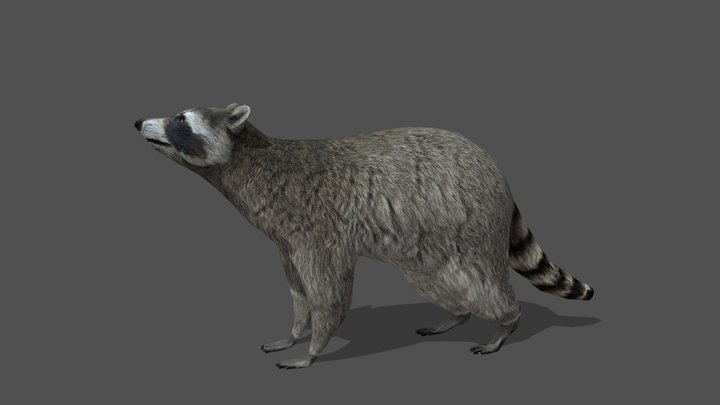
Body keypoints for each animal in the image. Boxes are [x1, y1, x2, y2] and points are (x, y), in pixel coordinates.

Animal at [134, 103, 593, 369]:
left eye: (181, 119)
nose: (138, 120)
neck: (247, 159)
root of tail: (497, 172)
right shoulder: (285, 239)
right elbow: (297, 290)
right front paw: (295, 331)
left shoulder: (316, 226)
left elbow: (327, 290)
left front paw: (313, 348)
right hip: (430, 242)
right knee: (441, 279)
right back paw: (458, 313)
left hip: (468, 220)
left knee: (480, 277)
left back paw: (507, 322)